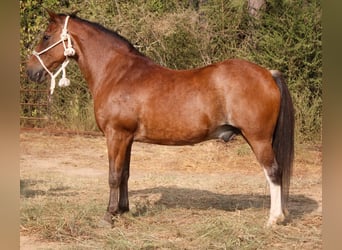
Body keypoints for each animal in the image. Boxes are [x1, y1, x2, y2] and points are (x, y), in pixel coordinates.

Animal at [26, 10, 294, 228]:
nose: (31, 71)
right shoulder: (127, 139)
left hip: (258, 139)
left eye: (46, 36)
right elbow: (125, 174)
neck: (117, 73)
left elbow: (113, 176)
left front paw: (109, 215)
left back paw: (274, 219)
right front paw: (123, 210)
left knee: (273, 172)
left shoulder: (116, 135)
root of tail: (268, 73)